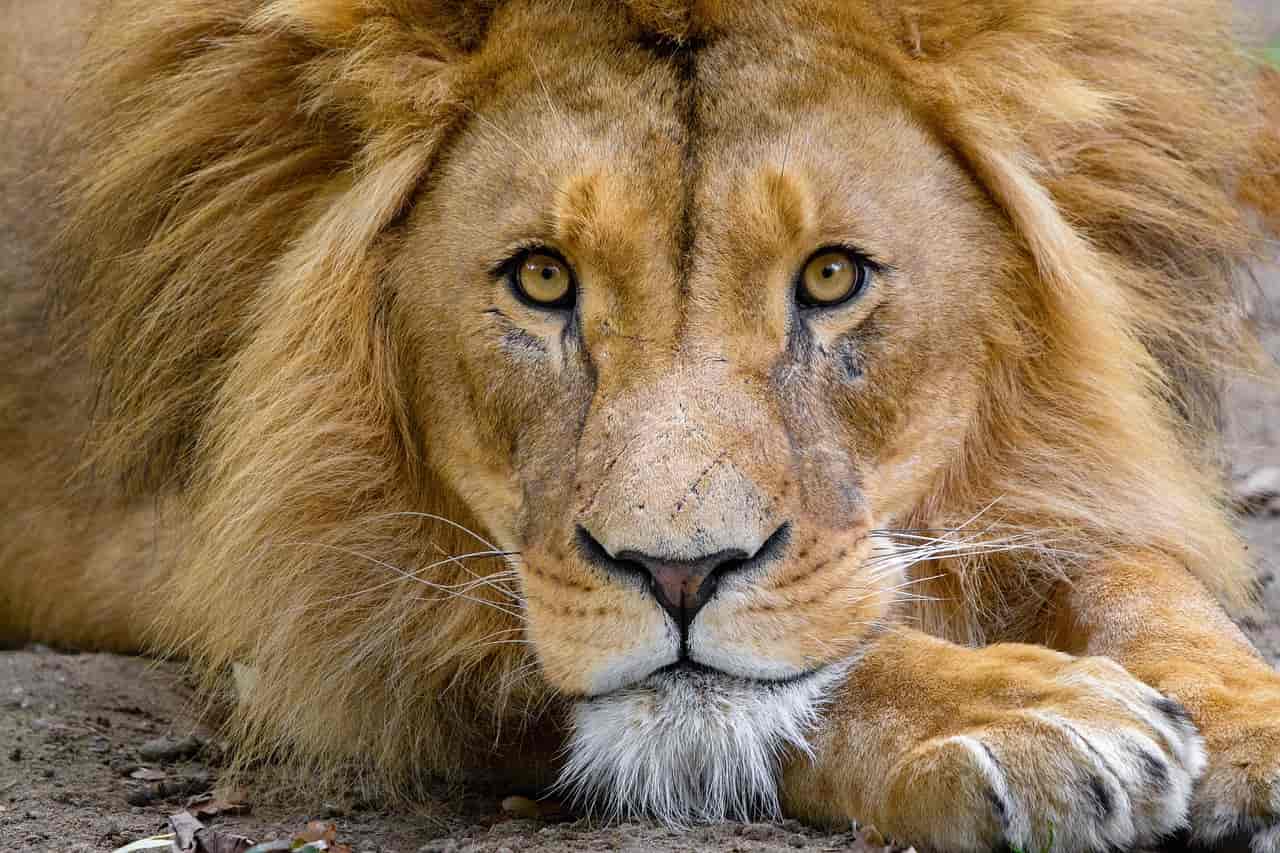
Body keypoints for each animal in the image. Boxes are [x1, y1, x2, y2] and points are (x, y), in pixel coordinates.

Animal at [3, 0, 1280, 850]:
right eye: (540, 280)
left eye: (829, 277)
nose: (678, 574)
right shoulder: (319, 598)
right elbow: (809, 673)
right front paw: (1026, 714)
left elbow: (1136, 576)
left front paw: (1244, 722)